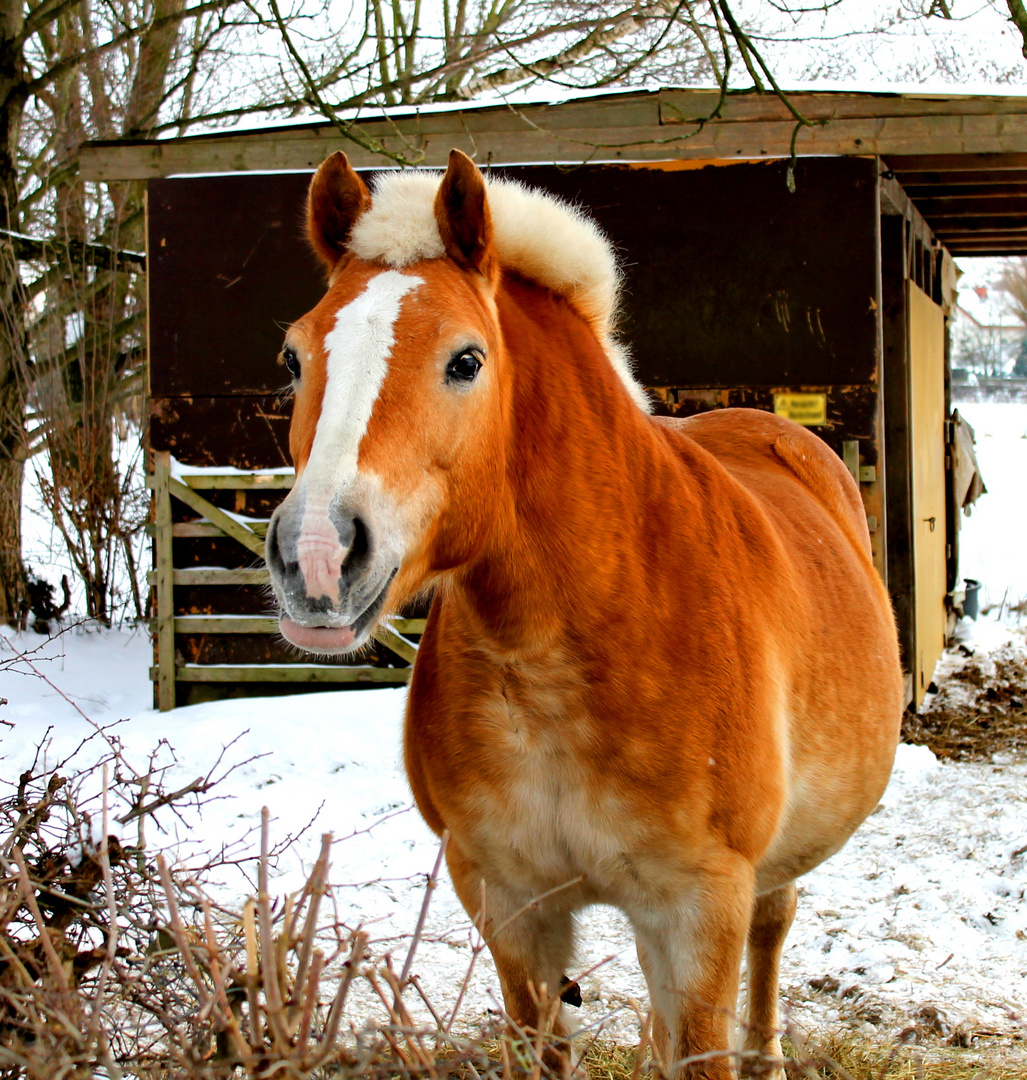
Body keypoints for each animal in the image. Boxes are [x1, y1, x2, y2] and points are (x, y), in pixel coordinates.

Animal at [263, 150, 898, 1080]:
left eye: (465, 360)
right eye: (295, 358)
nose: (315, 554)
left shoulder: (698, 908)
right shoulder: (510, 905)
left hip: (763, 876)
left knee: (772, 931)